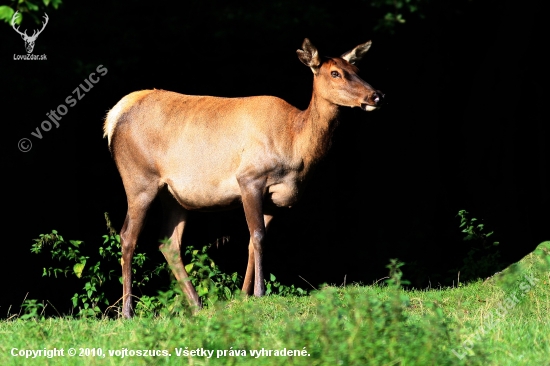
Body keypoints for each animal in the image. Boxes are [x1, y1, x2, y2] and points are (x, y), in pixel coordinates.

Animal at [105, 38, 386, 318]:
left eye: (357, 69)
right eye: (335, 73)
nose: (377, 95)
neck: (295, 146)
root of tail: (113, 118)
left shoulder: (274, 199)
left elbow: (254, 240)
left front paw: (243, 296)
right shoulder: (250, 179)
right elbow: (258, 236)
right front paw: (260, 292)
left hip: (174, 196)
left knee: (169, 243)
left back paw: (196, 304)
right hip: (139, 180)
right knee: (128, 236)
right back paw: (127, 312)